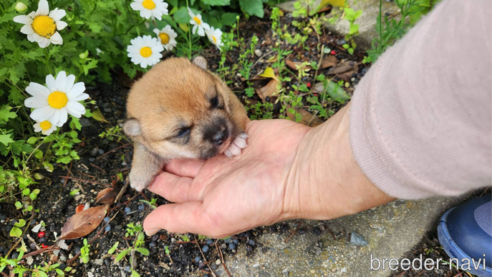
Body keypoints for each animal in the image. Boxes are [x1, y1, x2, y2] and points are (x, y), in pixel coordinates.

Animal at [121, 56, 248, 190]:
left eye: (215, 101)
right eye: (182, 132)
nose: (221, 136)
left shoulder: (229, 96)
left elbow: (235, 114)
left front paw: (234, 142)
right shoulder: (141, 140)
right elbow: (143, 148)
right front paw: (140, 173)